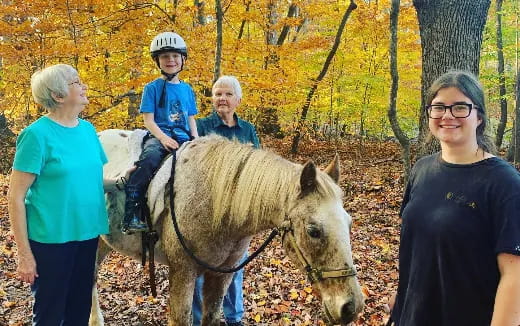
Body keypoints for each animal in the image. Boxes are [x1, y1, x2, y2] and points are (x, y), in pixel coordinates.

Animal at [89, 130, 364, 326]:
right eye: (313, 230)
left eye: (348, 223)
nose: (352, 307)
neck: (215, 203)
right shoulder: (182, 272)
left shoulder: (221, 275)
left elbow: (211, 316)